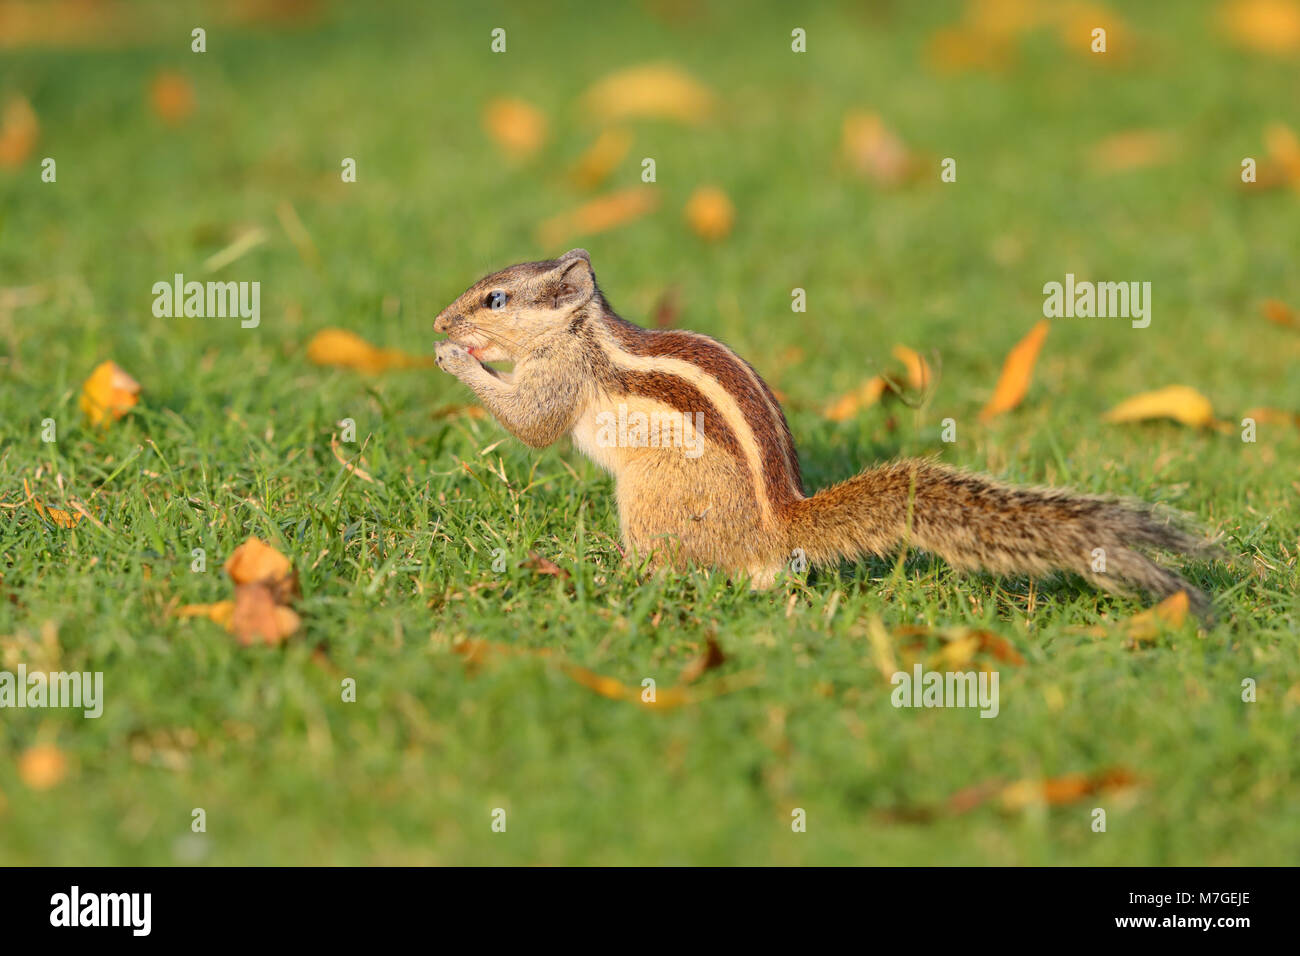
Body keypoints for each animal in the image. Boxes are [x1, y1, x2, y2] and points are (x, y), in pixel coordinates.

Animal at [436, 251, 1216, 613]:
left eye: (495, 298)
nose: (441, 320)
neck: (581, 331)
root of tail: (778, 524)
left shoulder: (561, 378)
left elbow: (533, 424)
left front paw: (456, 359)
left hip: (651, 500)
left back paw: (613, 571)